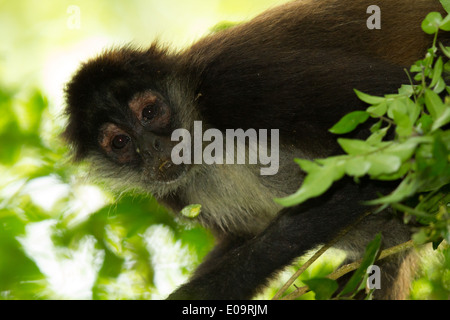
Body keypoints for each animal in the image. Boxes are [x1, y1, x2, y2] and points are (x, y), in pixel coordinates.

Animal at [61, 0, 448, 300]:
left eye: (150, 112)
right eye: (120, 142)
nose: (152, 145)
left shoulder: (233, 82)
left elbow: (403, 114)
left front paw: (201, 291)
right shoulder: (170, 187)